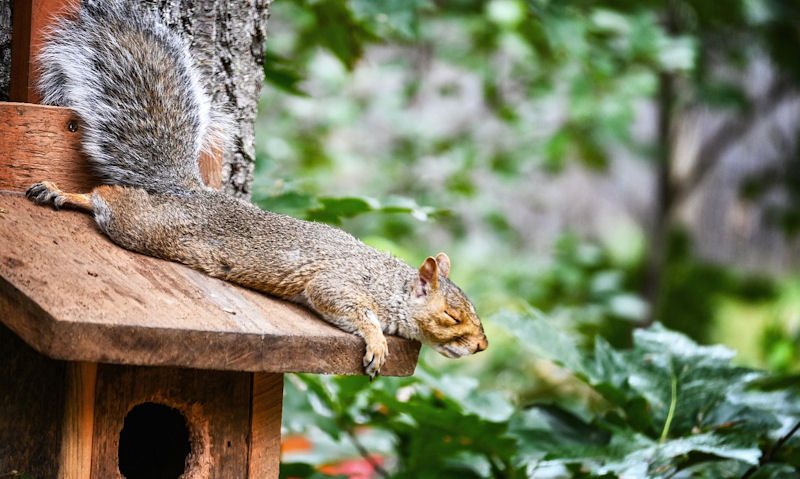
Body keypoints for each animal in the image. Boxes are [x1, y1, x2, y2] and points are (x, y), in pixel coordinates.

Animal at [25, 1, 488, 380]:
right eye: (451, 316)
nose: (482, 346)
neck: (391, 287)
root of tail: (191, 192)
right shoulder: (338, 283)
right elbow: (346, 305)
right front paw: (376, 343)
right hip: (147, 226)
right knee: (107, 196)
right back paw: (64, 194)